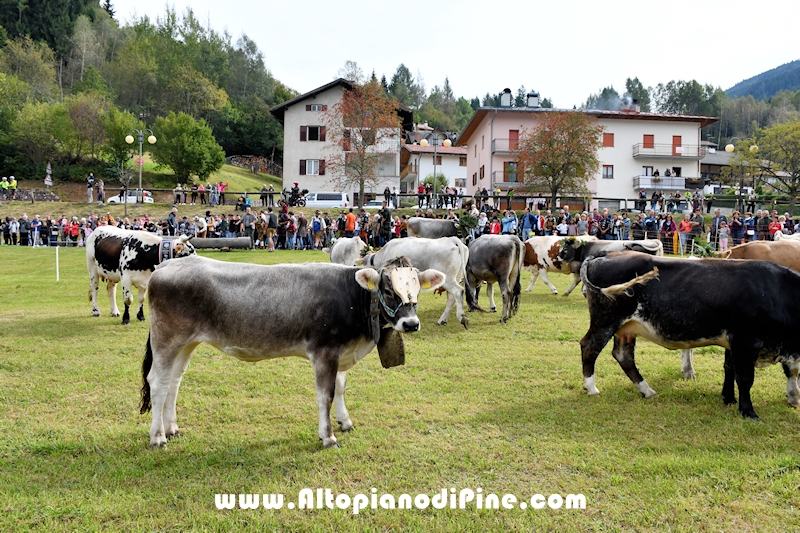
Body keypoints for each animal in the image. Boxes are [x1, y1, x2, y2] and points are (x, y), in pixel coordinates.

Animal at [580, 250, 800, 420]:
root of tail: (607, 253)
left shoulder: (735, 343)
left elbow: (731, 369)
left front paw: (729, 399)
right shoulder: (745, 340)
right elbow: (745, 378)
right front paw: (748, 412)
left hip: (626, 328)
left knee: (623, 356)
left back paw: (647, 391)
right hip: (605, 321)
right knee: (589, 347)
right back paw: (591, 388)